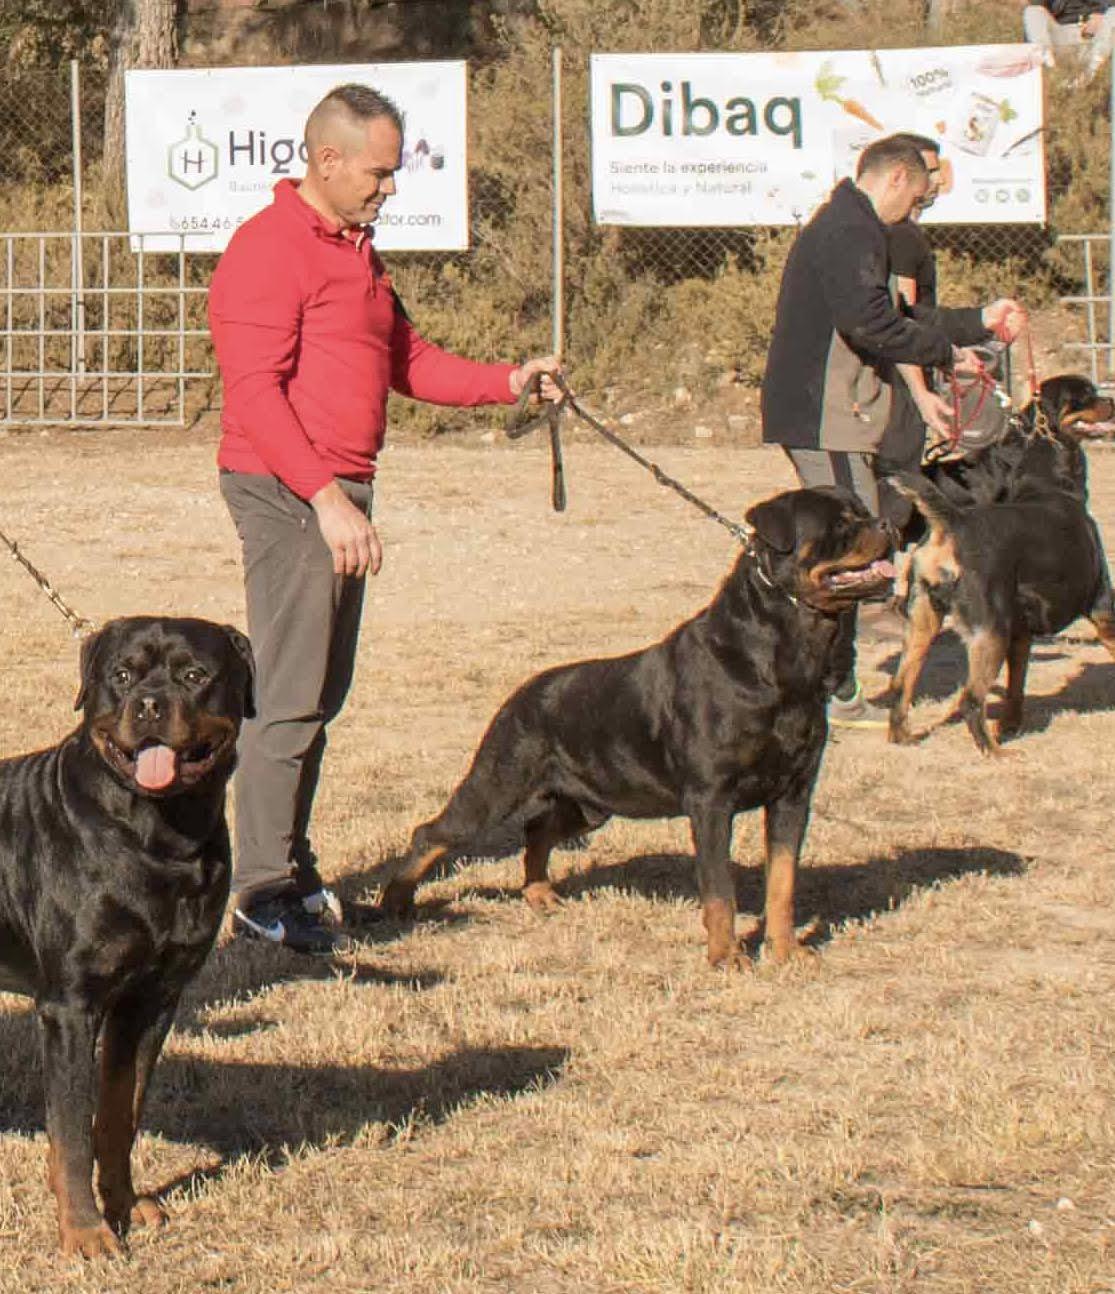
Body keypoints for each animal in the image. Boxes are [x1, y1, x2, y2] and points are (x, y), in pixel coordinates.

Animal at [0, 616, 254, 1258]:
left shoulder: (151, 1000)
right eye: (120, 675)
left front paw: (124, 1205)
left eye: (194, 675)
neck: (157, 837)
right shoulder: (70, 1006)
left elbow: (119, 1116)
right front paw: (86, 1234)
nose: (149, 704)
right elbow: (71, 1130)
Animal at [377, 488, 894, 968]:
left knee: (537, 831)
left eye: (864, 512)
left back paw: (540, 894)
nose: (888, 523)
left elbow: (783, 881)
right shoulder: (711, 800)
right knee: (433, 833)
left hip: (590, 804)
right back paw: (396, 902)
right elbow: (719, 888)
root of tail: (523, 692)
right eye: (841, 523)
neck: (782, 659)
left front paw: (786, 951)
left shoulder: (793, 794)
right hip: (499, 782)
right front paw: (726, 957)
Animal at [886, 471, 1115, 753]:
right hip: (991, 633)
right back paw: (996, 752)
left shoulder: (1021, 635)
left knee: (900, 687)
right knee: (970, 701)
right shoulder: (1103, 611)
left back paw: (903, 738)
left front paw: (1009, 725)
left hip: (922, 625)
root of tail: (953, 521)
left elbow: (1016, 687)